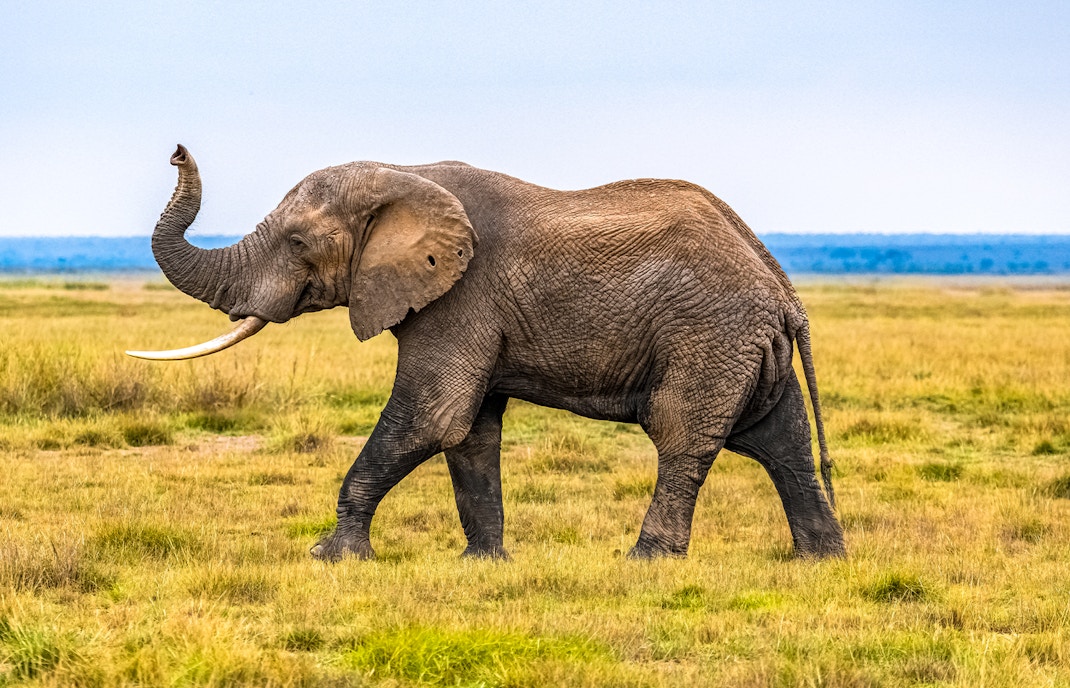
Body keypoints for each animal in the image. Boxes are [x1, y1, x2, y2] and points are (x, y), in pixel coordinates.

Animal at [129, 144, 846, 561]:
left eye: (300, 243)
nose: (176, 151)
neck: (406, 174)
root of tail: (783, 288)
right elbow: (469, 431)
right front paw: (484, 565)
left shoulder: (460, 298)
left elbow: (431, 417)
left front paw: (332, 557)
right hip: (744, 345)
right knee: (781, 442)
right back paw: (819, 561)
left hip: (708, 337)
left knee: (682, 439)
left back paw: (646, 562)